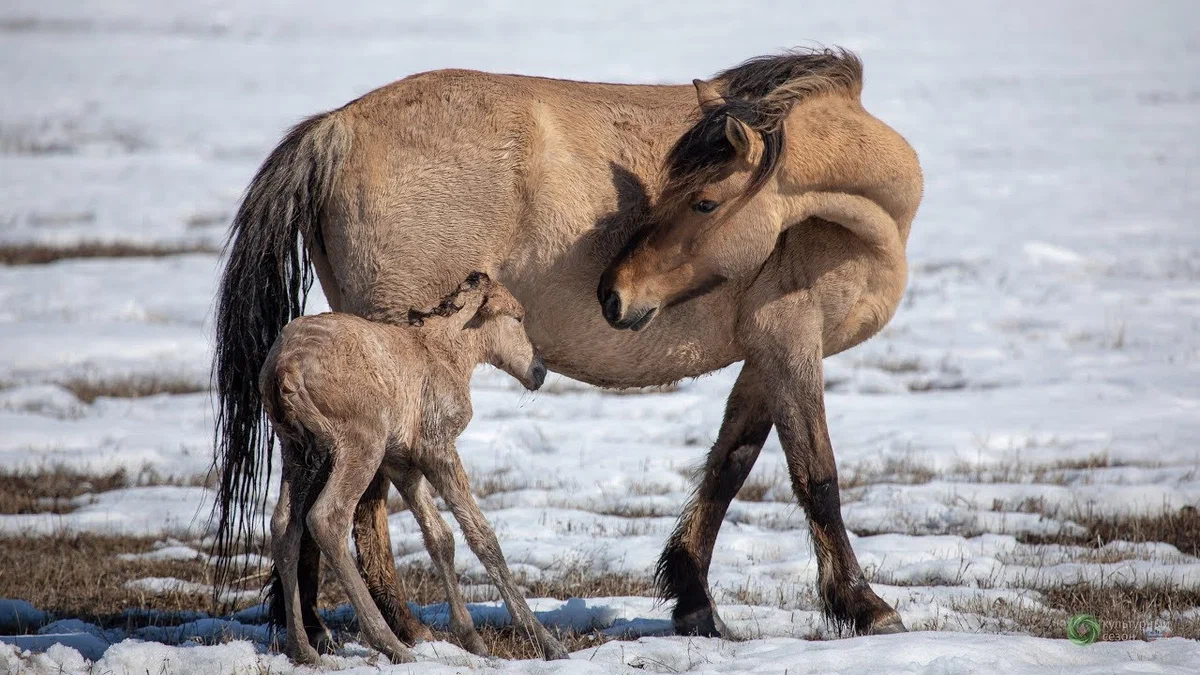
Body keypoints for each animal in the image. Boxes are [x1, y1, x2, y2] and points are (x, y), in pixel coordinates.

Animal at [259, 270, 566, 658]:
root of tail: (286, 367)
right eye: (518, 317)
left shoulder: (402, 463)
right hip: (360, 444)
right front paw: (545, 640)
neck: (444, 353)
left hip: (296, 453)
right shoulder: (438, 448)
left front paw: (472, 639)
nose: (538, 371)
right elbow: (482, 537)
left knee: (284, 526)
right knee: (327, 518)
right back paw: (389, 643)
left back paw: (302, 649)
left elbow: (440, 537)